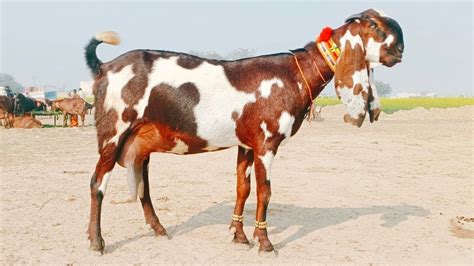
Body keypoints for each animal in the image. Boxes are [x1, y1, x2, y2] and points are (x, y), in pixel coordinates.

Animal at [85, 8, 404, 254]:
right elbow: (264, 191)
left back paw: (157, 229)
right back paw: (97, 242)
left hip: (138, 140)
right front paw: (265, 242)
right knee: (98, 183)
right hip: (113, 132)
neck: (292, 74)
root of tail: (104, 67)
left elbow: (243, 187)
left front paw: (239, 236)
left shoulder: (246, 144)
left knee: (142, 185)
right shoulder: (266, 143)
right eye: (373, 26)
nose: (400, 49)